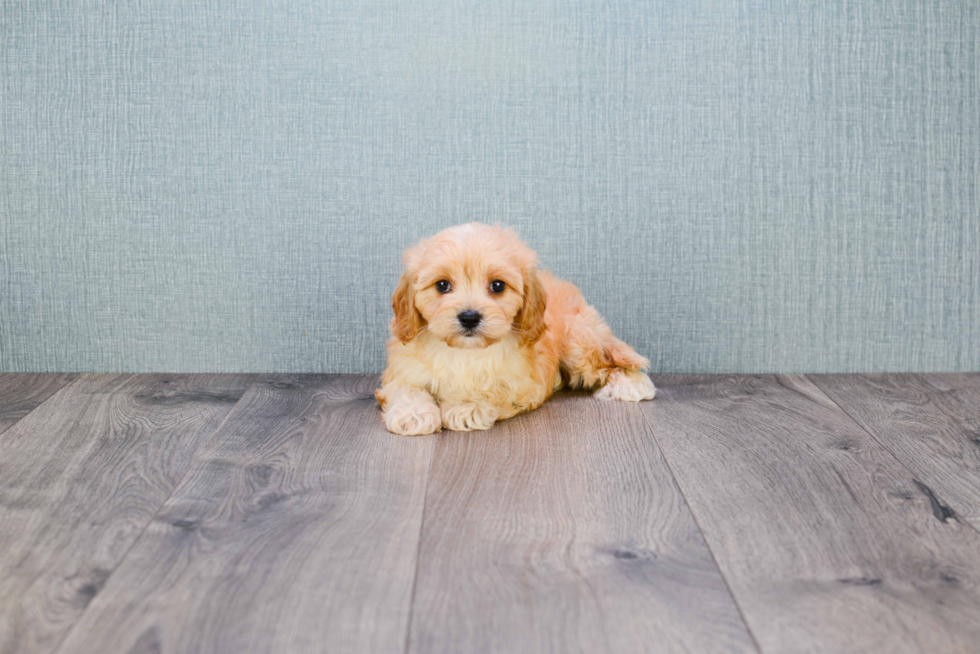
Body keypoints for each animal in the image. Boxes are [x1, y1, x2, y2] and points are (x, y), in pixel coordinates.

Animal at [378, 224, 656, 436]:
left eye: (498, 286)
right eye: (442, 285)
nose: (469, 317)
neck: (466, 352)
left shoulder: (522, 383)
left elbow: (492, 388)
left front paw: (466, 406)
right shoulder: (403, 368)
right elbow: (406, 387)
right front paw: (413, 413)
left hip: (578, 344)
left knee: (611, 362)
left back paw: (631, 385)